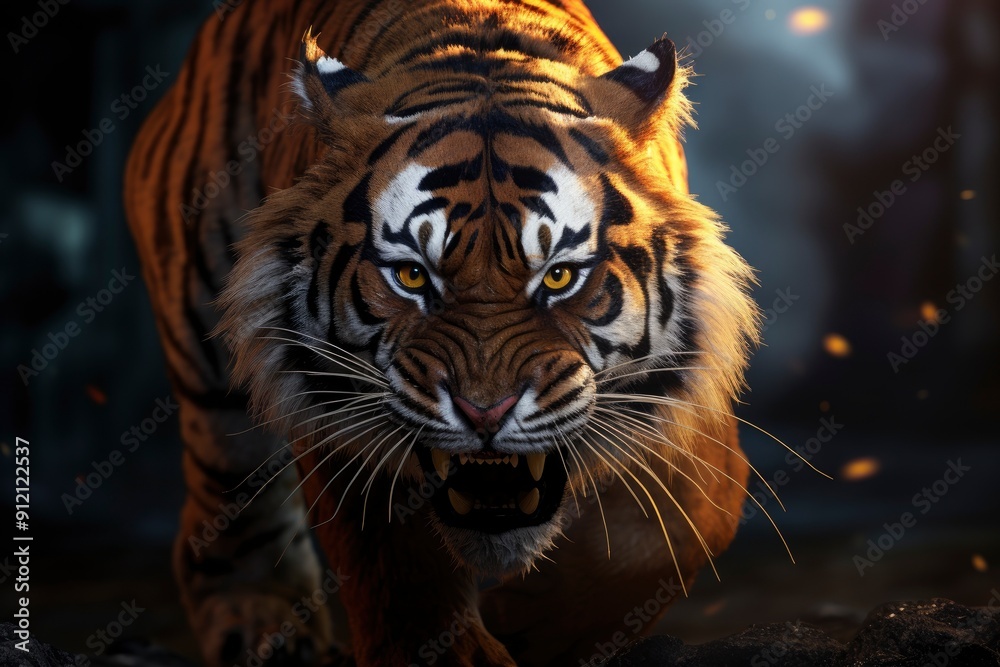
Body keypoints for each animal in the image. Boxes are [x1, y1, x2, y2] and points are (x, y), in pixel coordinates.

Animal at [123, 0, 760, 665]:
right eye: (411, 275)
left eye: (558, 276)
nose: (485, 412)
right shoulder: (331, 396)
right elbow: (397, 572)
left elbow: (692, 519)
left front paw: (529, 625)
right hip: (206, 348)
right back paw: (264, 626)